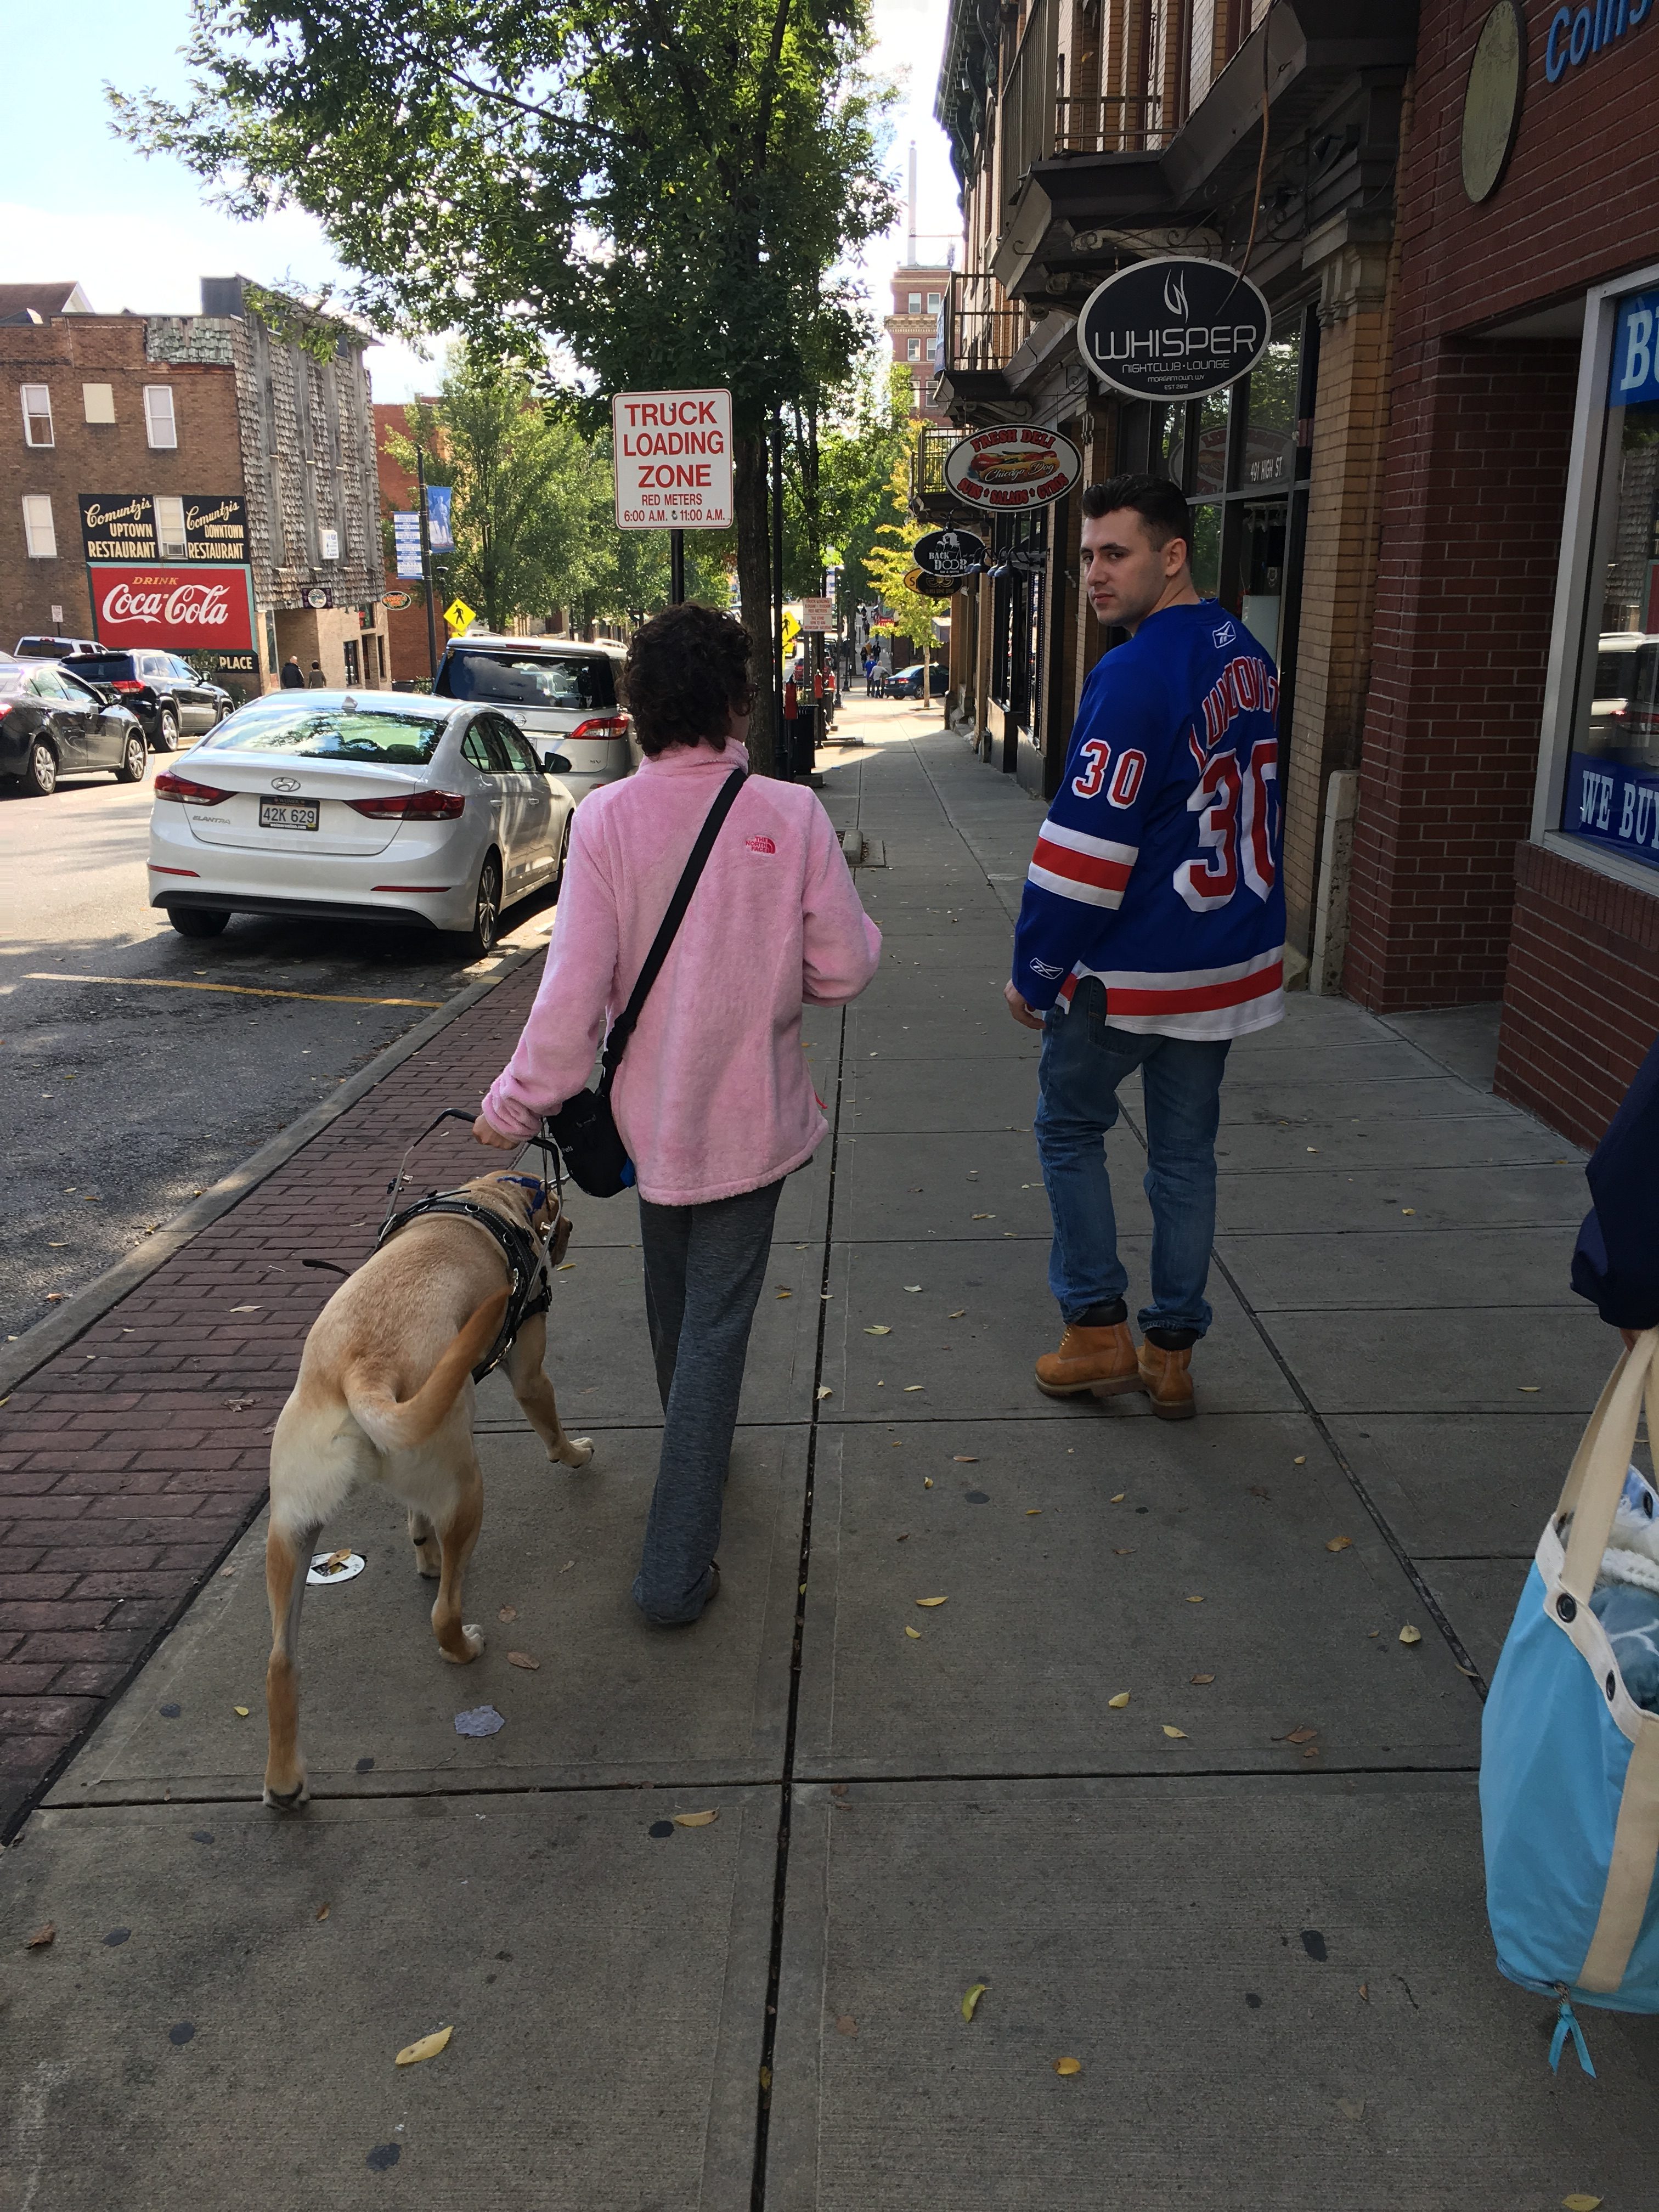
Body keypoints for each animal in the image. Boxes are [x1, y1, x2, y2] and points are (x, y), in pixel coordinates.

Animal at [263, 1159, 592, 1814]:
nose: (564, 1238)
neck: (489, 1200)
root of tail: (362, 1370)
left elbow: (415, 1522)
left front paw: (424, 1552)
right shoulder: (529, 1368)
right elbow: (549, 1421)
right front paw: (573, 1455)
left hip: (290, 1533)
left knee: (280, 1664)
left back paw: (284, 1782)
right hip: (468, 1488)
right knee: (443, 1614)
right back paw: (464, 1646)